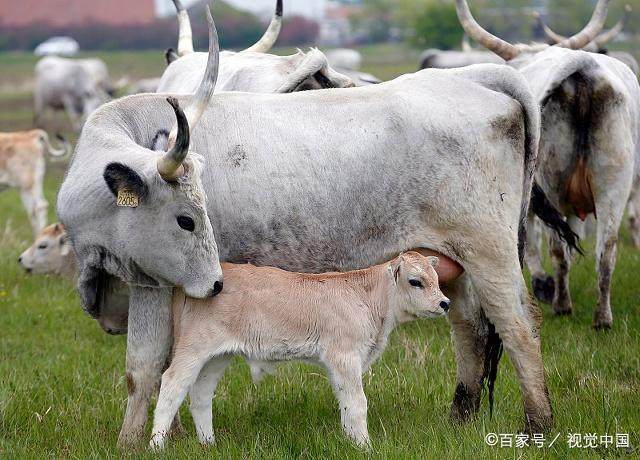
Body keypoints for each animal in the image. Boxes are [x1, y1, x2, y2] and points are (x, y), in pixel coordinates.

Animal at [150, 252, 450, 450]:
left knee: (200, 393)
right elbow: (357, 403)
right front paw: (365, 446)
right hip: (194, 347)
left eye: (436, 279)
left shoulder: (338, 363)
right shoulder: (345, 356)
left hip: (217, 356)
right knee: (172, 384)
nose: (445, 303)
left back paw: (209, 443)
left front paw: (351, 441)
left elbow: (345, 402)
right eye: (415, 281)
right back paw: (156, 446)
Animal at [458, 0, 636, 330]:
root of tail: (581, 68)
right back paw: (602, 317)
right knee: (606, 250)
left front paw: (541, 283)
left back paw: (561, 303)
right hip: (614, 182)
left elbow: (529, 242)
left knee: (557, 250)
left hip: (551, 181)